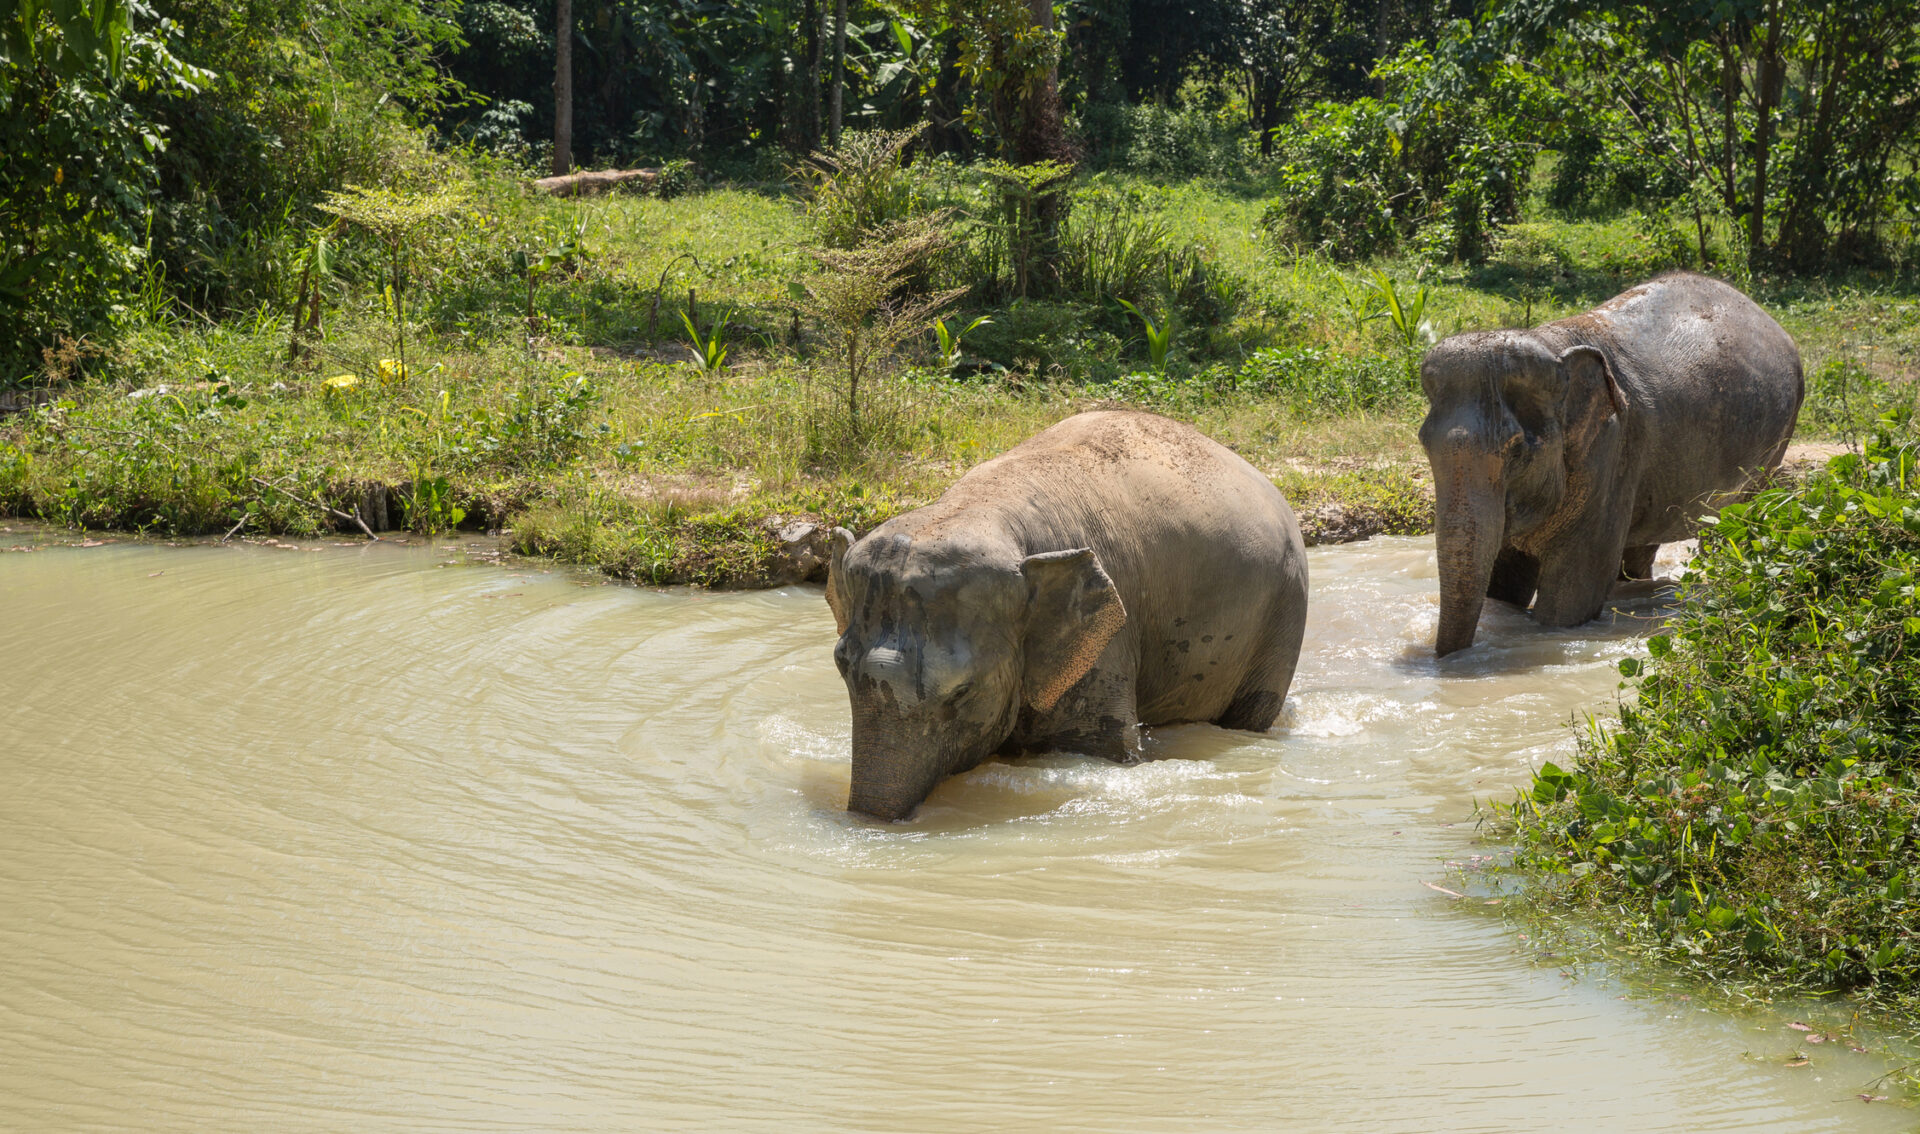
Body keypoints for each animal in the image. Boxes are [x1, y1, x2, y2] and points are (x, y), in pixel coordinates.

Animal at [817, 412, 1313, 821]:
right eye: (841, 665)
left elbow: (1099, 746)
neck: (980, 509)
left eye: (962, 692)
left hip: (1286, 606)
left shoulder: (1108, 640)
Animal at [1420, 270, 1804, 656]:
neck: (1552, 343)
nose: (1445, 661)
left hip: (1773, 449)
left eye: (1517, 451)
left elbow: (1574, 590)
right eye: (1424, 443)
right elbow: (1505, 580)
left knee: (1732, 524)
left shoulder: (1611, 449)